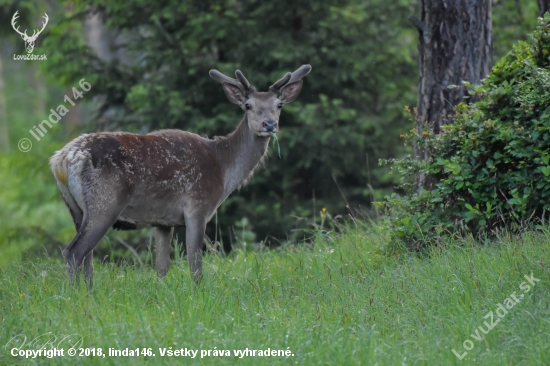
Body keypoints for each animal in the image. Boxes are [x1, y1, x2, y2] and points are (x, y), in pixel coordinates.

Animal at [49, 63, 312, 286]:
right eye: (248, 105)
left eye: (279, 105)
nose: (269, 124)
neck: (223, 170)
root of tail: (61, 160)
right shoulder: (197, 207)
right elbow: (195, 266)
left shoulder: (162, 221)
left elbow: (162, 268)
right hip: (105, 202)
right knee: (74, 251)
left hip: (75, 208)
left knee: (87, 257)